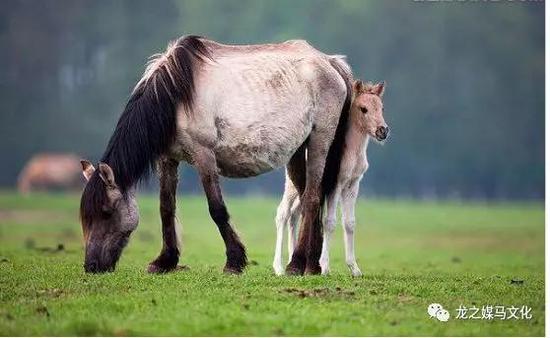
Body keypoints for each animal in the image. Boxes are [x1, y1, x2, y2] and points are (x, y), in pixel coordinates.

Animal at [78, 36, 354, 274]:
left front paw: (234, 261)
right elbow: (166, 207)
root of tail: (330, 62)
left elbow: (216, 209)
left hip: (319, 140)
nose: (91, 266)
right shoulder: (167, 159)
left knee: (312, 199)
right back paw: (312, 265)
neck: (174, 95)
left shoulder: (203, 155)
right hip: (297, 150)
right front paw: (165, 261)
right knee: (308, 195)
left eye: (106, 211)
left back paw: (296, 264)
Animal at [274, 80, 388, 276]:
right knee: (283, 213)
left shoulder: (352, 185)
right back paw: (279, 267)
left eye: (381, 107)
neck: (352, 152)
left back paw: (292, 261)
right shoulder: (335, 185)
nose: (383, 131)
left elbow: (349, 223)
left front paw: (354, 269)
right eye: (363, 109)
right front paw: (324, 267)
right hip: (291, 186)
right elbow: (329, 222)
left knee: (295, 214)